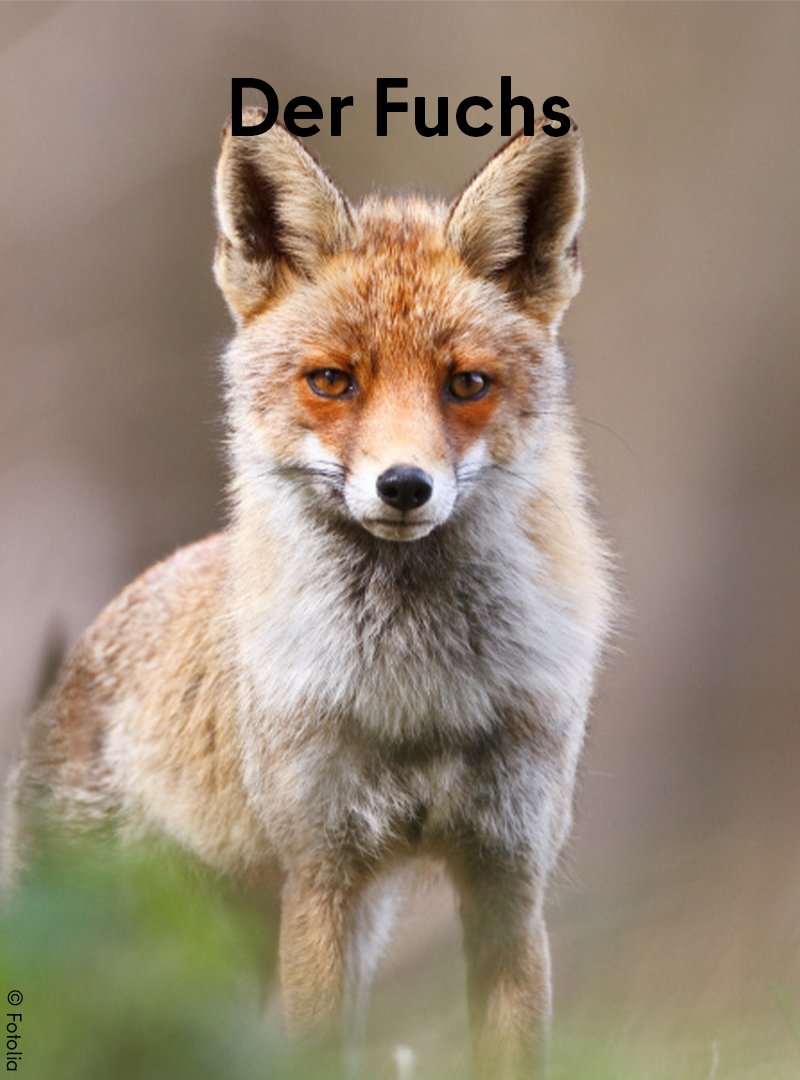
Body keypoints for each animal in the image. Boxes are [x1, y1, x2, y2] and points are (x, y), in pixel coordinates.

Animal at [1, 111, 613, 1080]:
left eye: (466, 384)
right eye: (333, 380)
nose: (404, 486)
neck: (416, 693)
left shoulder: (508, 879)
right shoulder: (324, 874)